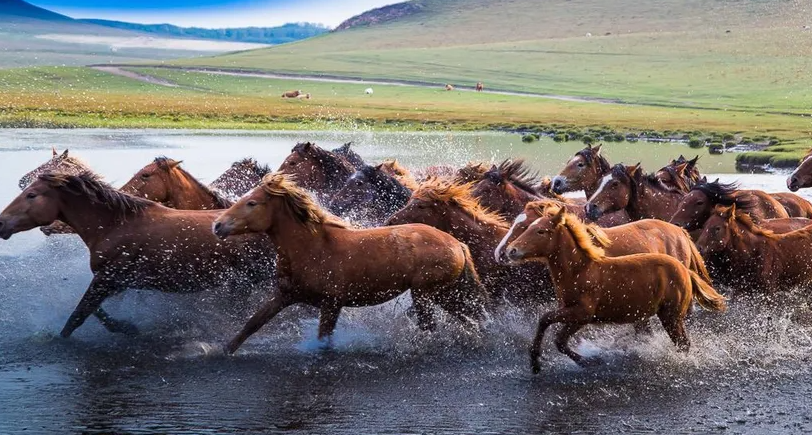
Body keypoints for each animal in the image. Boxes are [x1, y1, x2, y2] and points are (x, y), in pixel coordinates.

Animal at [0, 172, 274, 338]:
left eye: (31, 195)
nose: (1, 222)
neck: (115, 225)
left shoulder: (107, 280)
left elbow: (77, 317)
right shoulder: (116, 283)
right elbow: (93, 311)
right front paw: (126, 328)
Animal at [211, 172, 488, 356]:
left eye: (252, 203)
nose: (217, 225)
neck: (313, 248)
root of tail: (457, 244)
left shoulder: (331, 304)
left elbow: (324, 339)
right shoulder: (285, 295)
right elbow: (252, 324)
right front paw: (218, 350)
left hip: (425, 293)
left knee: (431, 326)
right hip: (445, 293)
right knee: (468, 319)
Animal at [504, 209, 728, 372]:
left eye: (541, 231)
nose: (511, 250)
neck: (580, 270)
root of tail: (685, 270)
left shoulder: (582, 314)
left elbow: (552, 329)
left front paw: (587, 361)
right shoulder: (571, 313)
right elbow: (550, 328)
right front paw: (537, 362)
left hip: (671, 317)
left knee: (683, 344)